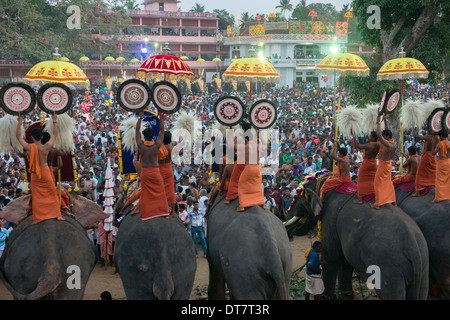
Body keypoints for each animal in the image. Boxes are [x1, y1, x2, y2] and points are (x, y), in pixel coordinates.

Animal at [286, 175, 430, 300]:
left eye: (298, 197)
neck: (327, 181)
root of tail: (414, 250)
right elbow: (345, 262)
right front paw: (346, 296)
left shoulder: (330, 219)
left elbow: (332, 257)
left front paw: (324, 297)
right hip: (423, 269)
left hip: (389, 270)